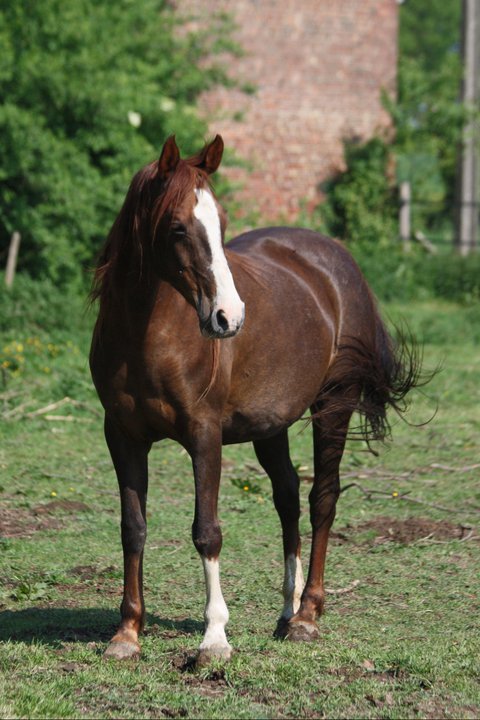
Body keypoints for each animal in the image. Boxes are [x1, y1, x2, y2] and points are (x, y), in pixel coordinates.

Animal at [90, 134, 420, 664]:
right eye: (177, 226)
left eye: (221, 224)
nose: (229, 317)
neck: (148, 335)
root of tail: (338, 262)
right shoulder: (122, 436)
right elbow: (132, 527)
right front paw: (127, 633)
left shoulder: (204, 435)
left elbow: (207, 531)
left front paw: (214, 638)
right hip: (271, 427)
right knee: (288, 499)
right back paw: (287, 611)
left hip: (334, 405)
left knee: (322, 500)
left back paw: (307, 615)